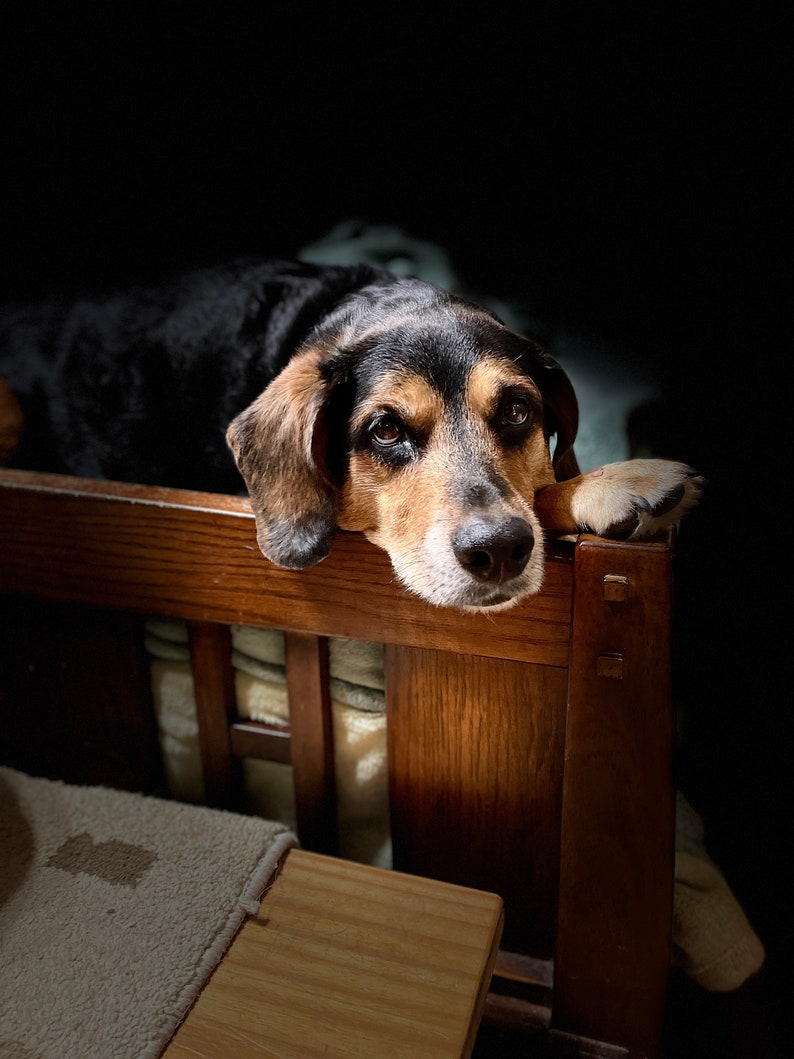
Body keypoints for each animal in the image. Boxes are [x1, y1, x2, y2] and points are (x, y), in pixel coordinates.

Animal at [0, 257, 702, 618]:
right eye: (385, 429)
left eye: (516, 412)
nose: (499, 551)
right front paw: (622, 483)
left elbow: (544, 486)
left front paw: (608, 482)